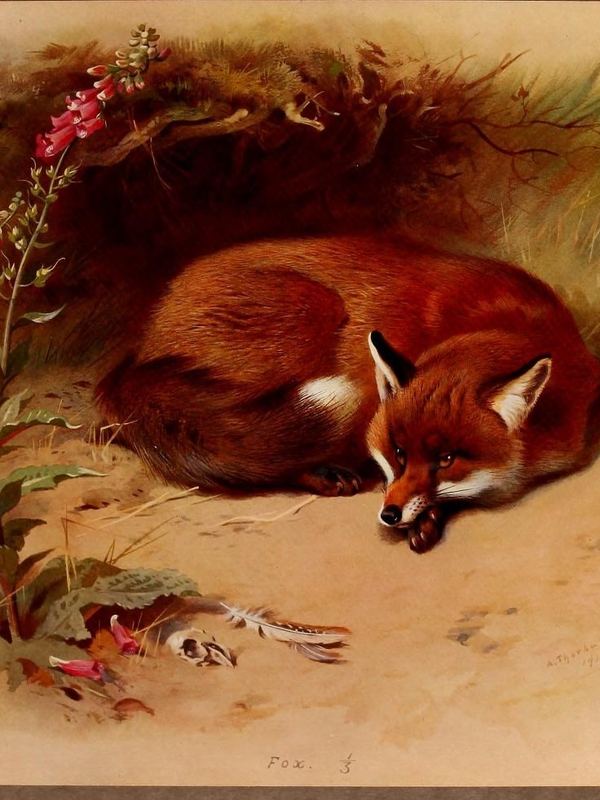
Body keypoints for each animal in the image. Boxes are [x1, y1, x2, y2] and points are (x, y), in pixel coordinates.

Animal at [96, 235, 600, 551]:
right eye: (398, 451)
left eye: (447, 459)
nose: (389, 515)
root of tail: (144, 342)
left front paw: (430, 518)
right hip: (310, 312)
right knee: (252, 451)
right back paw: (323, 474)